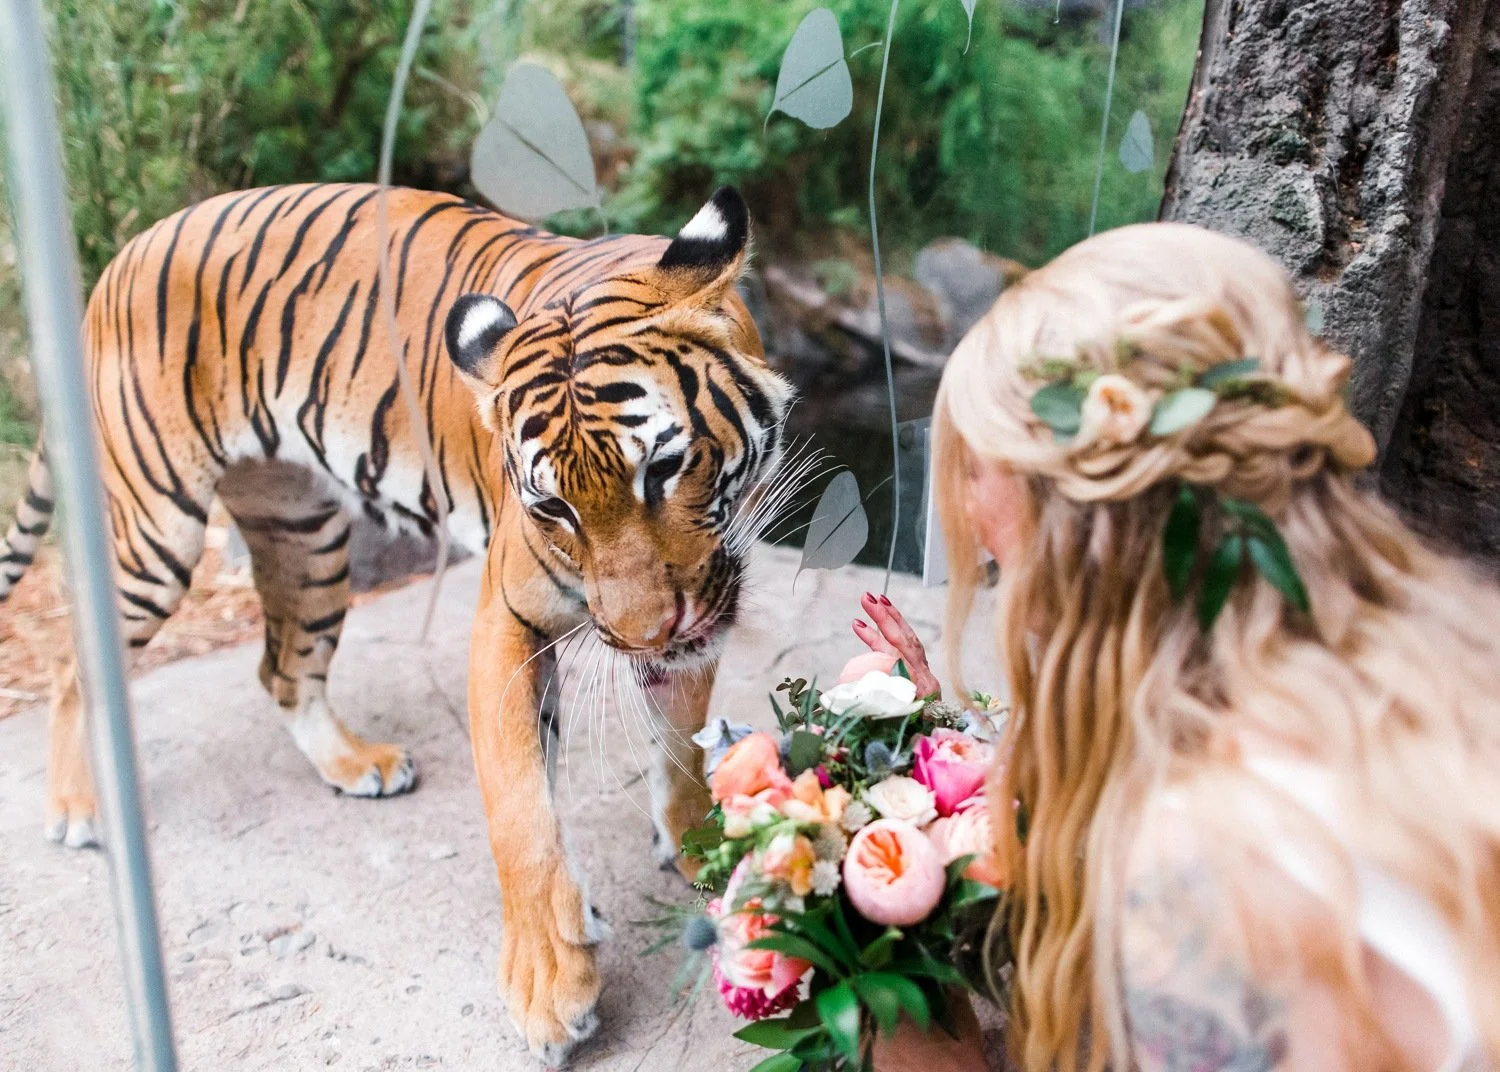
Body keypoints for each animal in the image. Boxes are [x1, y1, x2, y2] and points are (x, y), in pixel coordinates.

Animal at [0, 182, 795, 1064]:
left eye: (663, 467)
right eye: (553, 507)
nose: (645, 635)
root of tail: (120, 258)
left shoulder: (706, 593)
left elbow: (682, 738)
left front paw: (694, 841)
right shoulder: (509, 620)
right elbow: (519, 807)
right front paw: (549, 985)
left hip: (305, 535)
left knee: (283, 669)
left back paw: (355, 765)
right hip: (154, 529)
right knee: (74, 660)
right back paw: (79, 809)